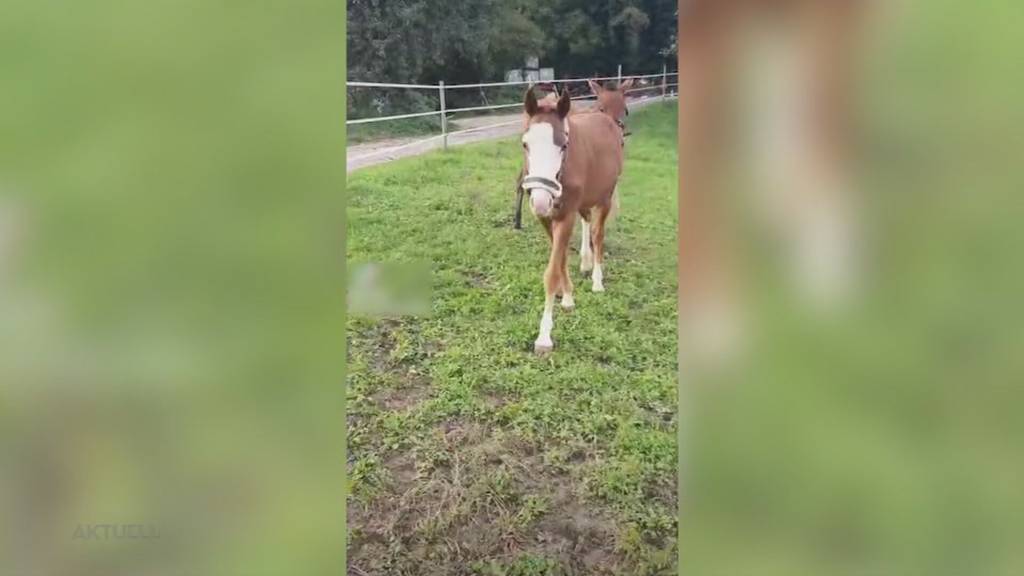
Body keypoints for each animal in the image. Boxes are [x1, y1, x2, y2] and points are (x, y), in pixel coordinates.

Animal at [520, 88, 622, 352]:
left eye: (564, 145)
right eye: (525, 144)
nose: (540, 201)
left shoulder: (565, 216)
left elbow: (552, 272)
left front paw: (544, 336)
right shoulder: (548, 218)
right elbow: (561, 259)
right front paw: (567, 297)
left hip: (605, 197)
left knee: (597, 234)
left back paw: (597, 280)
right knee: (586, 221)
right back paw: (585, 262)